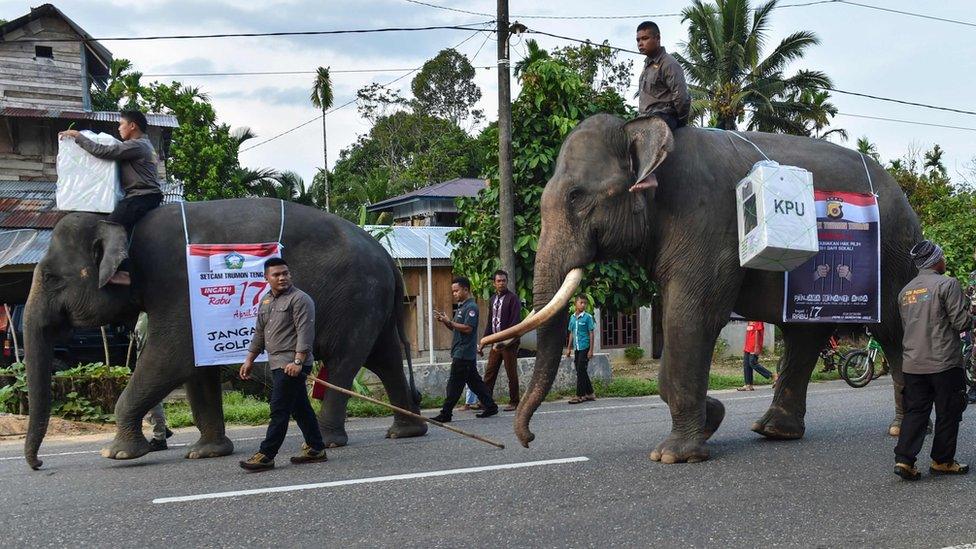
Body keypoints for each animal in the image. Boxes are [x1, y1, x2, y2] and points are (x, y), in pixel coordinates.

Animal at [22, 199, 426, 468]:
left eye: (51, 277)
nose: (38, 465)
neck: (121, 225)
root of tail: (387, 256)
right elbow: (195, 369)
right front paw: (206, 453)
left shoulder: (174, 284)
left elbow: (172, 358)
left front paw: (117, 453)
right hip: (370, 303)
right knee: (384, 357)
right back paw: (406, 431)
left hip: (357, 299)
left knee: (346, 362)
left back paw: (329, 440)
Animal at [488, 114, 924, 462]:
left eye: (577, 197)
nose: (527, 440)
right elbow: (678, 317)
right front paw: (712, 418)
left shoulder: (706, 221)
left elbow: (693, 315)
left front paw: (671, 456)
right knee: (803, 335)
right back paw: (773, 431)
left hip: (892, 256)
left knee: (890, 330)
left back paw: (899, 430)